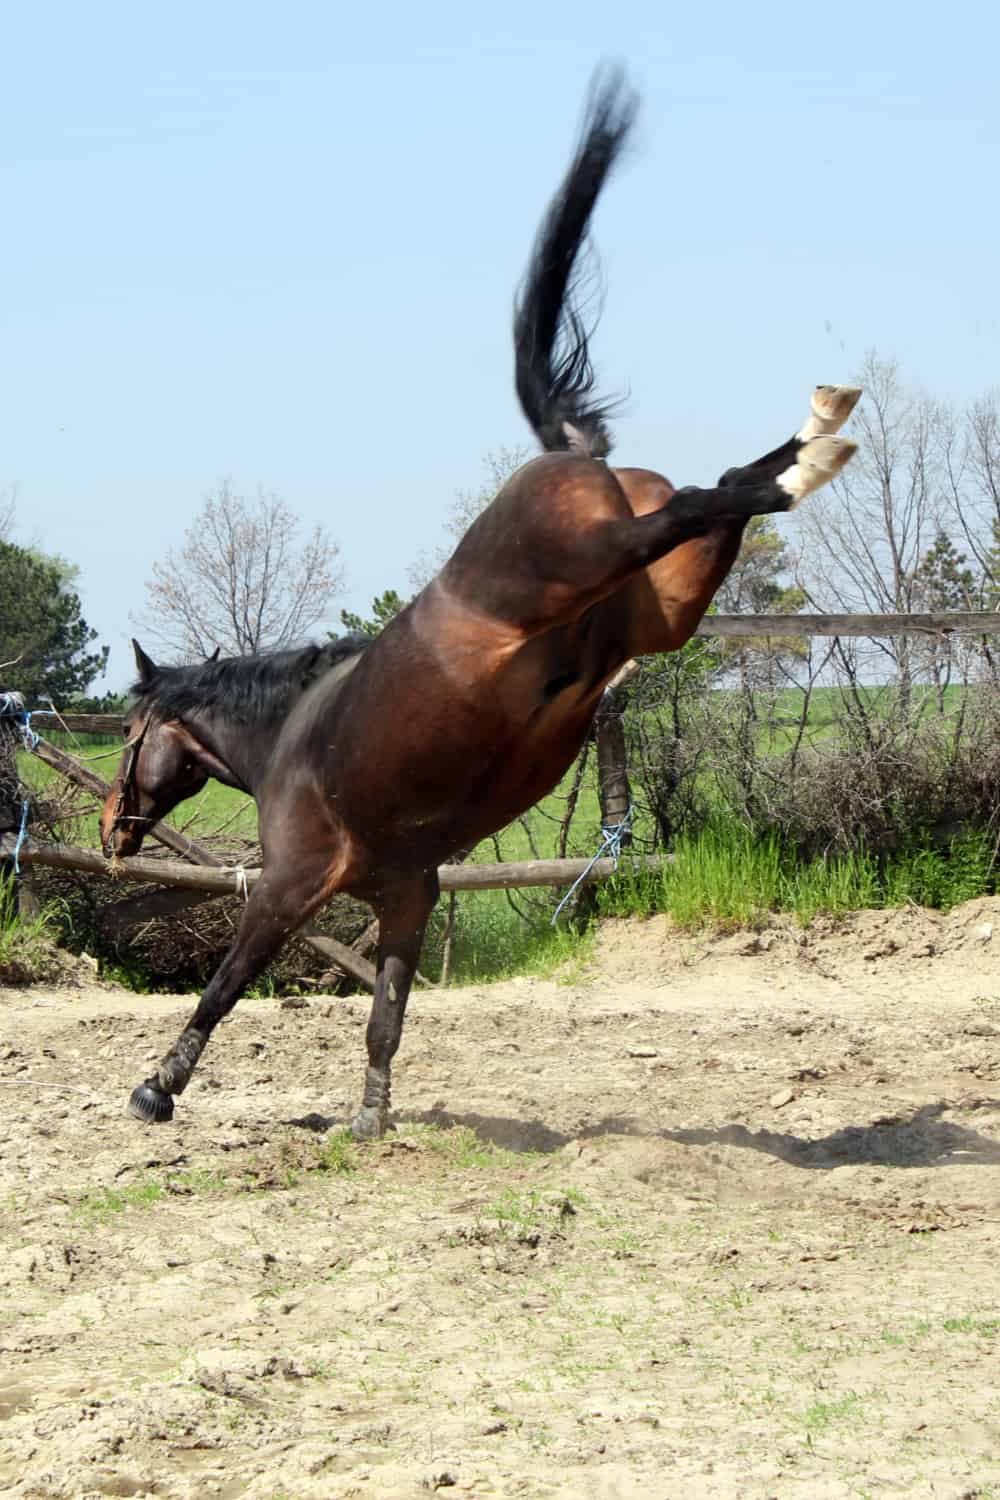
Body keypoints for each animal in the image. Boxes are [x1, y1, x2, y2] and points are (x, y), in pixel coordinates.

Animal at [100, 68, 860, 1140]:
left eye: (130, 736)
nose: (112, 834)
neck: (290, 736)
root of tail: (569, 454)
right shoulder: (408, 891)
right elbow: (385, 1013)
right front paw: (370, 1121)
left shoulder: (290, 885)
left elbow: (226, 983)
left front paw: (157, 1088)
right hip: (666, 611)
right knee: (721, 495)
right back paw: (820, 427)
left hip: (592, 560)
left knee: (710, 498)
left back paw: (818, 448)